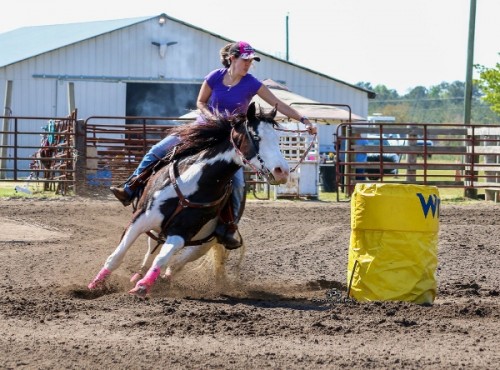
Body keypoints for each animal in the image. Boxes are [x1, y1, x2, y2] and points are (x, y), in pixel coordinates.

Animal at [89, 103, 290, 298]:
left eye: (277, 138)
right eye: (256, 137)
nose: (283, 171)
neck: (191, 184)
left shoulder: (181, 232)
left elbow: (162, 259)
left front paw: (143, 286)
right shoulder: (140, 219)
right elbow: (117, 256)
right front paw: (95, 284)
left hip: (206, 243)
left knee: (176, 263)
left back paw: (159, 279)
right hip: (156, 230)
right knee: (151, 252)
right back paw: (138, 274)